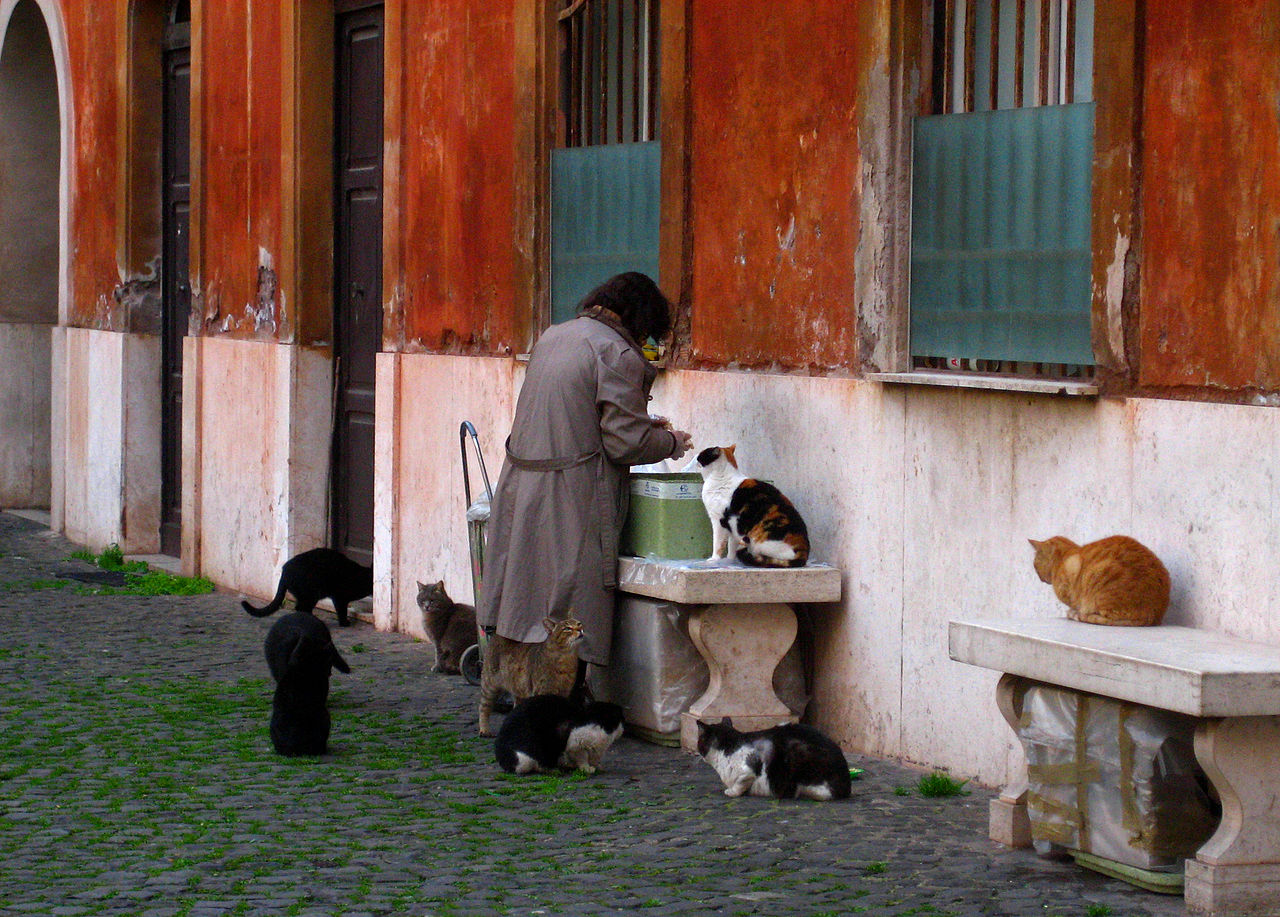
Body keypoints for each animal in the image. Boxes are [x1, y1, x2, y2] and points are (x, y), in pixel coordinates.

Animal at [240, 548, 373, 627]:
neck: (360, 577)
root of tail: (285, 569)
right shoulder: (339, 598)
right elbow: (342, 611)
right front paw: (344, 623)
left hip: (305, 596)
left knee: (299, 608)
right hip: (311, 594)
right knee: (301, 608)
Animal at [494, 696, 624, 773]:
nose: (623, 729)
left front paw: (596, 766)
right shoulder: (576, 743)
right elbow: (582, 758)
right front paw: (587, 768)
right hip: (526, 758)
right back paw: (549, 769)